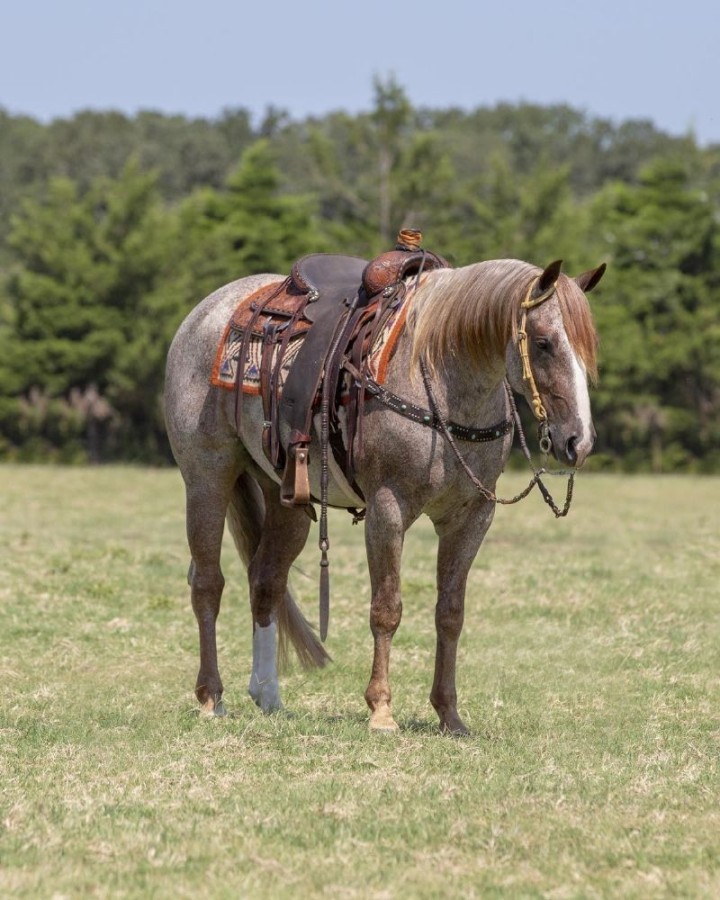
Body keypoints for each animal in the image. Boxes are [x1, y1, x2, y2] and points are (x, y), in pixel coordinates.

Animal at [164, 254, 604, 734]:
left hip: (285, 497)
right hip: (207, 477)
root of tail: (205, 311)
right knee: (207, 582)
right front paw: (381, 709)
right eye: (544, 343)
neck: (442, 380)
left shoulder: (472, 516)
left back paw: (268, 694)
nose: (578, 442)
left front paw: (449, 714)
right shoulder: (387, 510)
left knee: (265, 580)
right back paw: (211, 697)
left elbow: (451, 613)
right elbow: (387, 609)